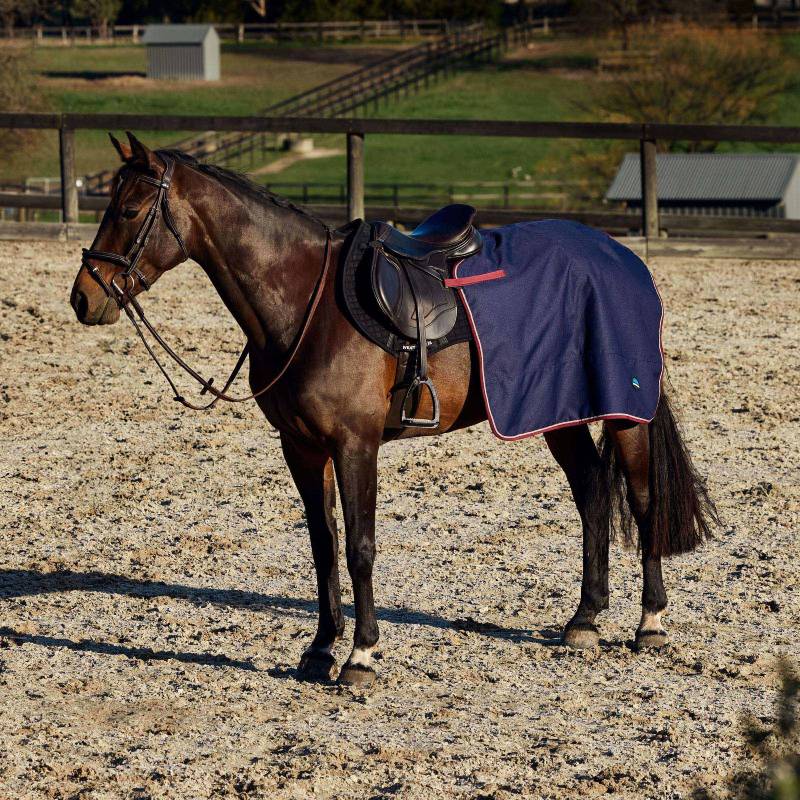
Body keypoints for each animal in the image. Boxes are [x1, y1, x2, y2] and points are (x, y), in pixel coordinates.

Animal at [69, 133, 717, 686]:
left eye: (129, 211)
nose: (84, 297)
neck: (307, 304)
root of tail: (624, 261)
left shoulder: (355, 444)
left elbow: (360, 547)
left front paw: (361, 656)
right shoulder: (301, 447)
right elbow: (323, 546)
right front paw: (320, 650)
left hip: (623, 413)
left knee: (642, 500)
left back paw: (650, 624)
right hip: (558, 413)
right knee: (591, 494)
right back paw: (584, 621)